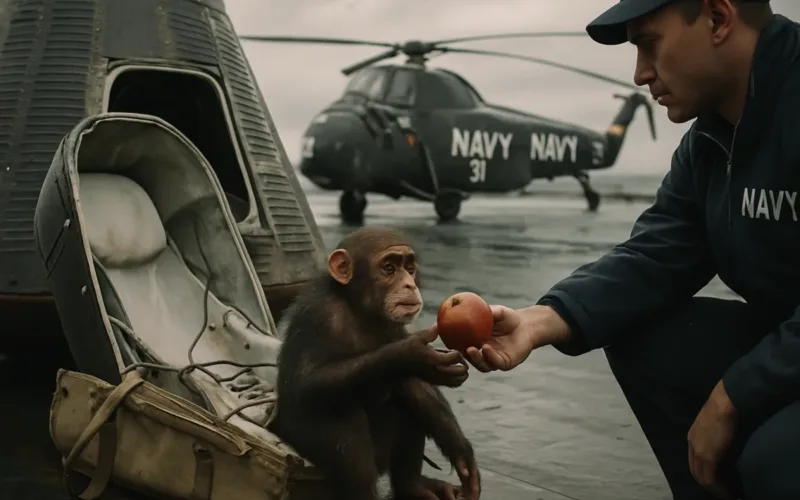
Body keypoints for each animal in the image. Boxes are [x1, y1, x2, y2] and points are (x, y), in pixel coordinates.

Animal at [267, 226, 481, 500]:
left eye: (409, 267)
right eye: (389, 268)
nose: (409, 283)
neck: (359, 308)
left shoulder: (395, 325)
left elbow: (413, 384)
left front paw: (460, 450)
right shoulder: (319, 316)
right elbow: (307, 384)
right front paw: (415, 355)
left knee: (407, 395)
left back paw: (412, 486)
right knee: (343, 419)